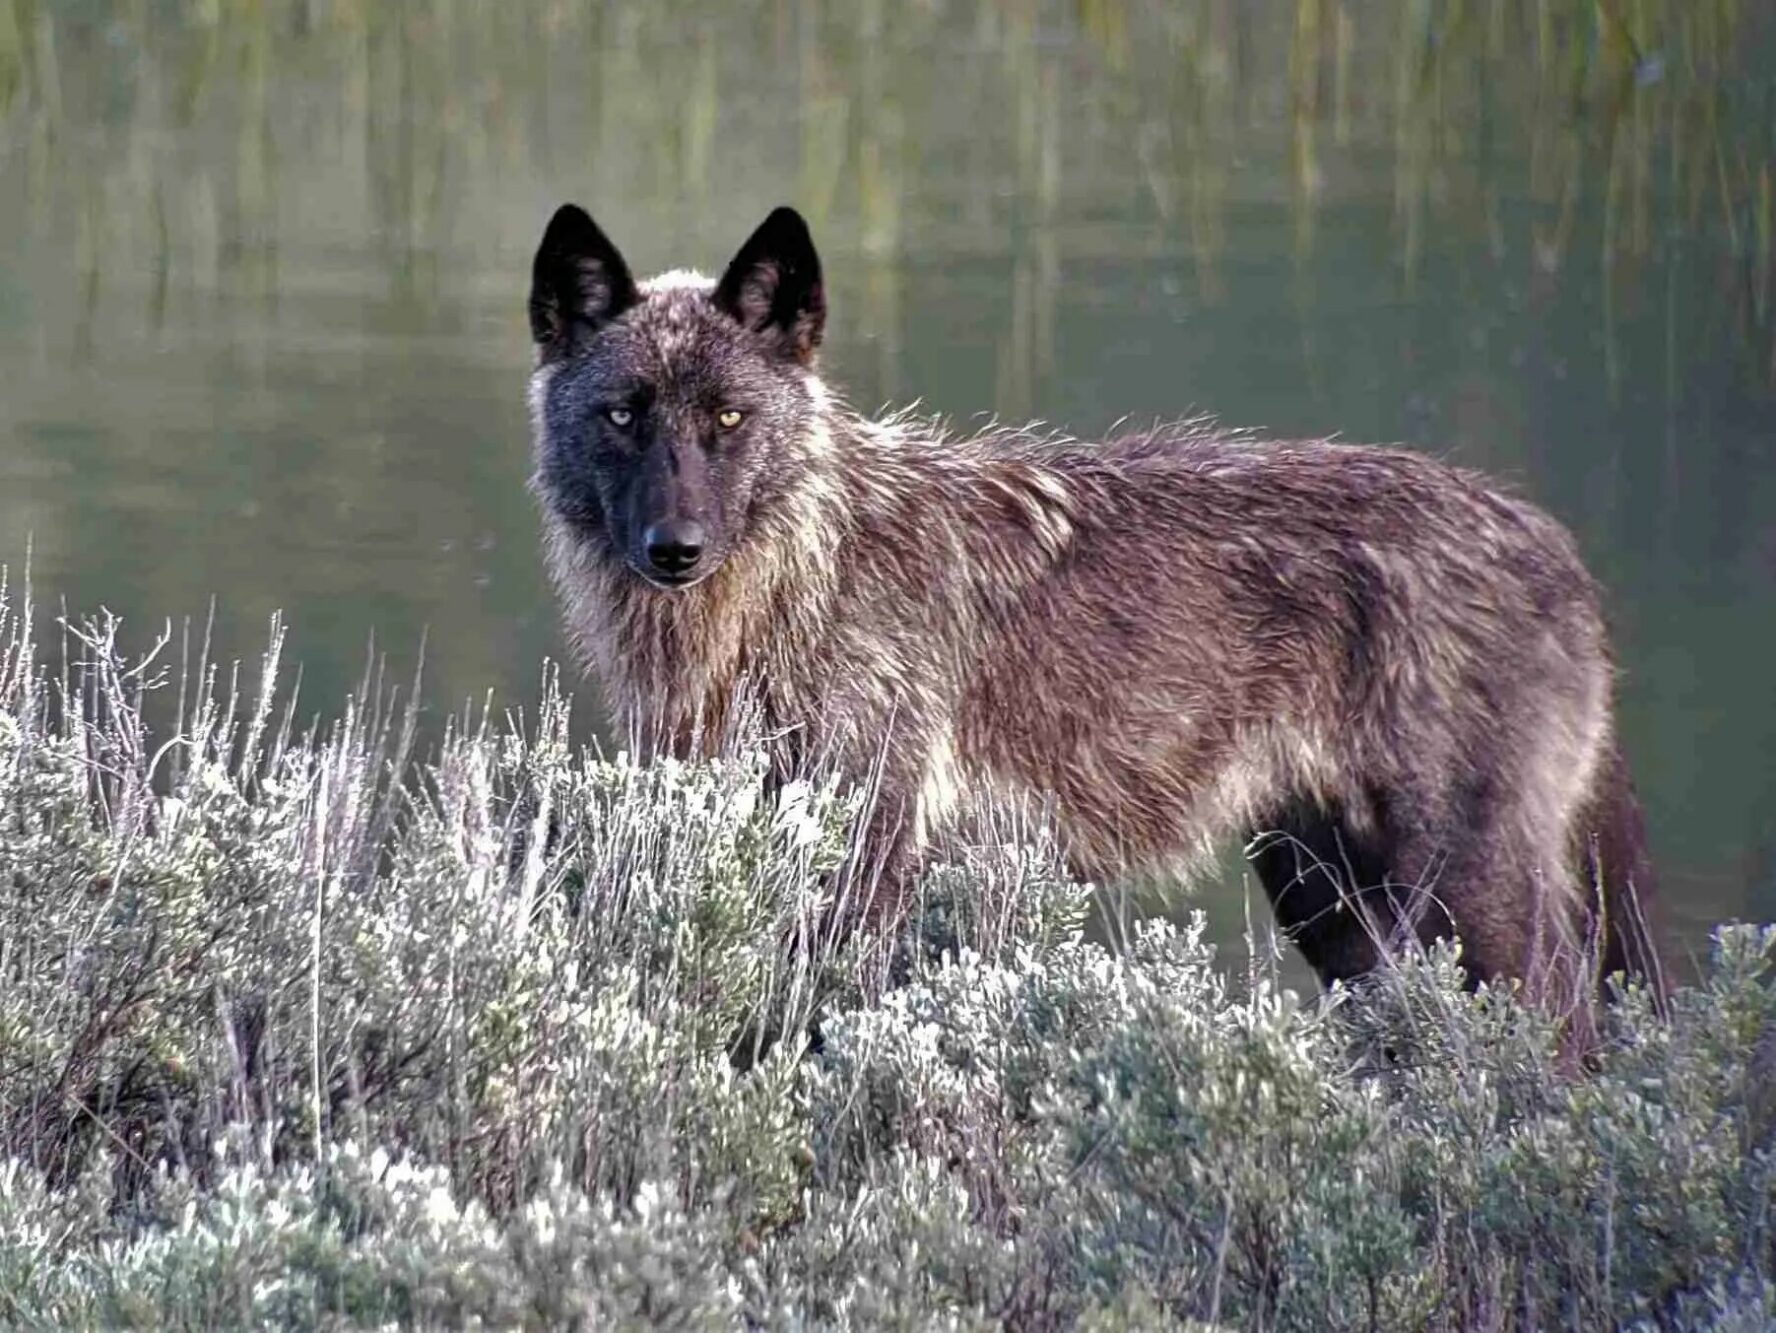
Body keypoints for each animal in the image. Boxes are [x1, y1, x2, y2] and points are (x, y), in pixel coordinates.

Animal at [525, 202, 1664, 1005]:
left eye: (726, 417)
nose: (675, 549)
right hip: (1331, 902)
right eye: (624, 415)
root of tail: (1554, 542)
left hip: (1465, 901)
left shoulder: (869, 863)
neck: (805, 579)